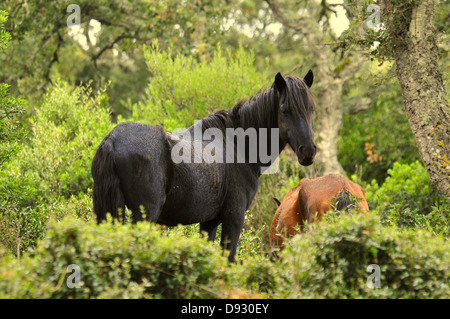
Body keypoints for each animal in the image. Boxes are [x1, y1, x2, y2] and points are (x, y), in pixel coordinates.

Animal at [91, 70, 316, 262]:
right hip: (145, 214)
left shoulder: (209, 222)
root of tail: (112, 140)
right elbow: (228, 257)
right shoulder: (234, 217)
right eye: (285, 110)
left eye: (312, 109)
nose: (308, 151)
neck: (238, 145)